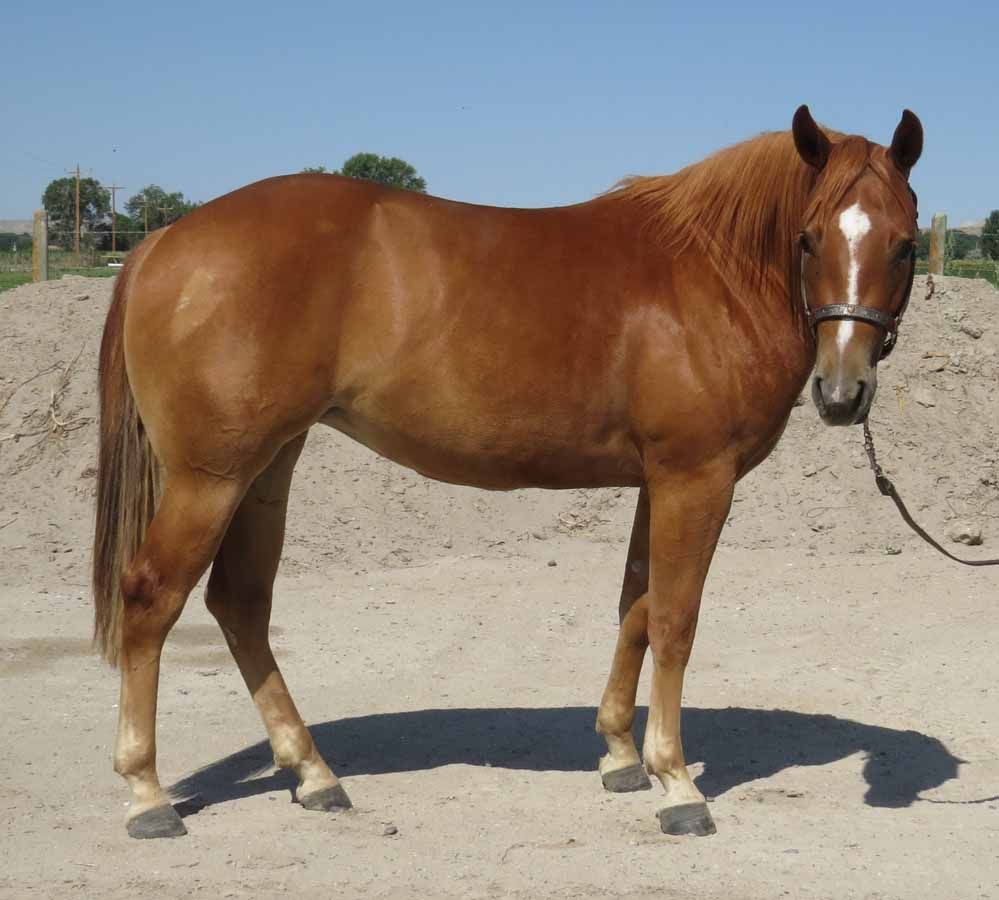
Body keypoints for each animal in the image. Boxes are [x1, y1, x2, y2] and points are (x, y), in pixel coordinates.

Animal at [92, 105, 923, 839]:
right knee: (152, 598)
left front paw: (619, 755)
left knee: (241, 603)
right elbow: (674, 620)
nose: (841, 393)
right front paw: (676, 783)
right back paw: (147, 795)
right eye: (809, 238)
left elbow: (634, 607)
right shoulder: (696, 478)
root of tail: (163, 239)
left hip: (267, 467)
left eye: (905, 245)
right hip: (211, 477)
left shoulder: (654, 481)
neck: (709, 272)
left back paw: (313, 774)